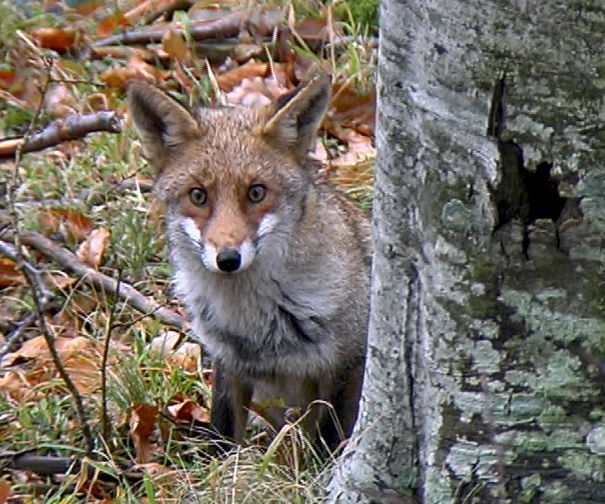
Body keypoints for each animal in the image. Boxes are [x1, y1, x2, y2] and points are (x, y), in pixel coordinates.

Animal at [125, 73, 370, 450]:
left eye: (256, 192)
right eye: (198, 196)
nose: (228, 259)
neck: (254, 320)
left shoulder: (350, 359)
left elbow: (330, 441)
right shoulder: (229, 361)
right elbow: (224, 432)